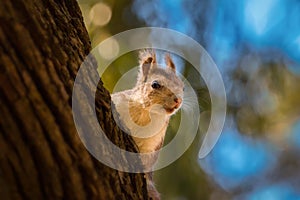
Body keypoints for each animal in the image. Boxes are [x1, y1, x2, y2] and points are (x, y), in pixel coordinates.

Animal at [111, 49, 184, 199]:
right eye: (155, 84)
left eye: (183, 87)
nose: (178, 100)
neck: (145, 113)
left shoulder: (152, 144)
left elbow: (146, 161)